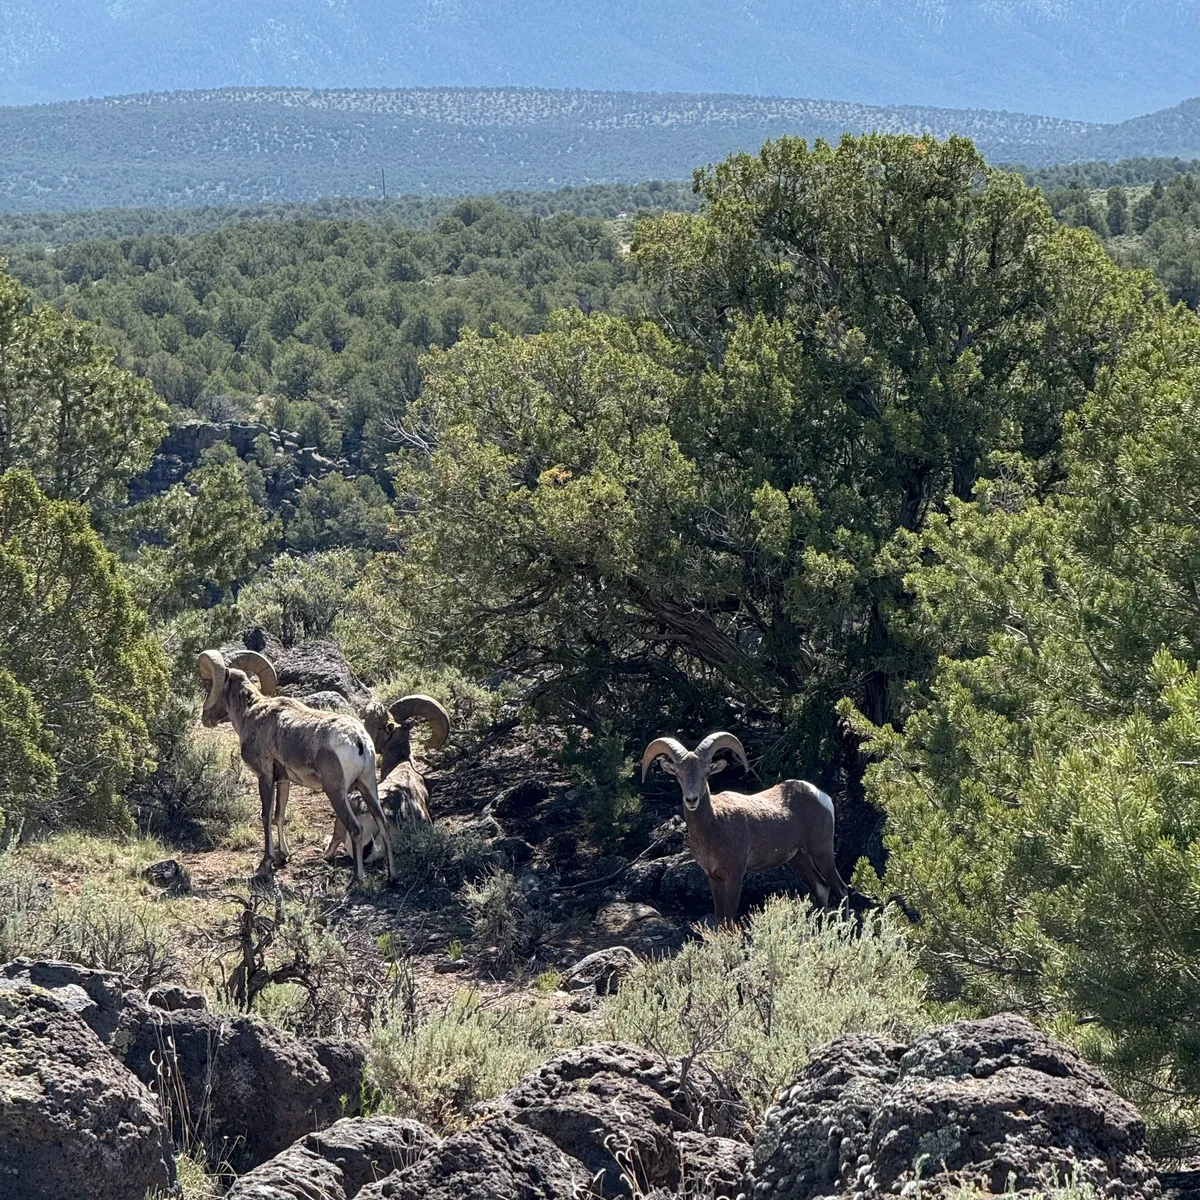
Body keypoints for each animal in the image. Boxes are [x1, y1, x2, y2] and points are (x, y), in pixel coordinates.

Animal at [196, 648, 395, 885]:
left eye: (211, 686)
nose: (205, 718)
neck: (251, 714)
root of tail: (359, 741)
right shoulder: (283, 781)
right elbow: (279, 816)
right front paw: (283, 856)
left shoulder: (265, 777)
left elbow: (266, 816)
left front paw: (265, 864)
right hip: (368, 786)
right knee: (383, 824)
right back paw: (393, 875)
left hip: (336, 791)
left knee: (355, 829)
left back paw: (357, 880)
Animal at [641, 731, 846, 926]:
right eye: (678, 775)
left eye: (705, 773)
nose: (691, 800)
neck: (715, 825)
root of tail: (822, 796)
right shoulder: (714, 877)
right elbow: (720, 920)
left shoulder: (735, 875)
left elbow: (730, 920)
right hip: (799, 858)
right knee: (822, 888)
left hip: (821, 852)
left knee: (841, 888)